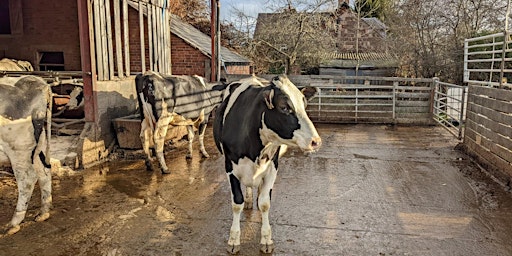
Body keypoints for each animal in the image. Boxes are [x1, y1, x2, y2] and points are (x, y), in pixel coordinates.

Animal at [0, 75, 52, 235]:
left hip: (18, 148)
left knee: (27, 179)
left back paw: (14, 223)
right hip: (37, 146)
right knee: (44, 172)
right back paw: (43, 212)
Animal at [212, 74, 320, 254]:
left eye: (304, 105)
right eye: (284, 107)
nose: (315, 141)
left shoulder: (272, 168)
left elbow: (264, 203)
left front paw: (266, 239)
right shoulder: (230, 168)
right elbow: (237, 203)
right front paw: (233, 240)